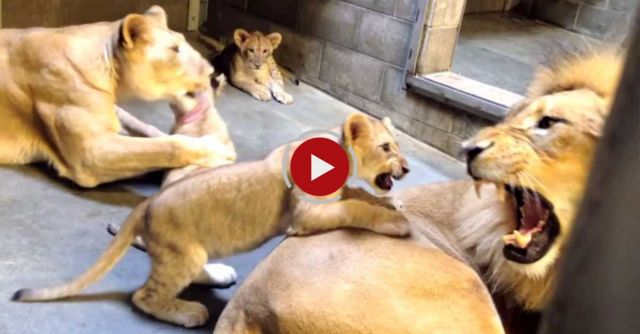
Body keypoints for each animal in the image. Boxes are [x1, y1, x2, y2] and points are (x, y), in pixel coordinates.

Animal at [0, 5, 226, 187]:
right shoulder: (89, 155)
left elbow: (147, 129)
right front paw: (216, 150)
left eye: (183, 42)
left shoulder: (109, 111)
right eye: (174, 49)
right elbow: (163, 147)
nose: (212, 72)